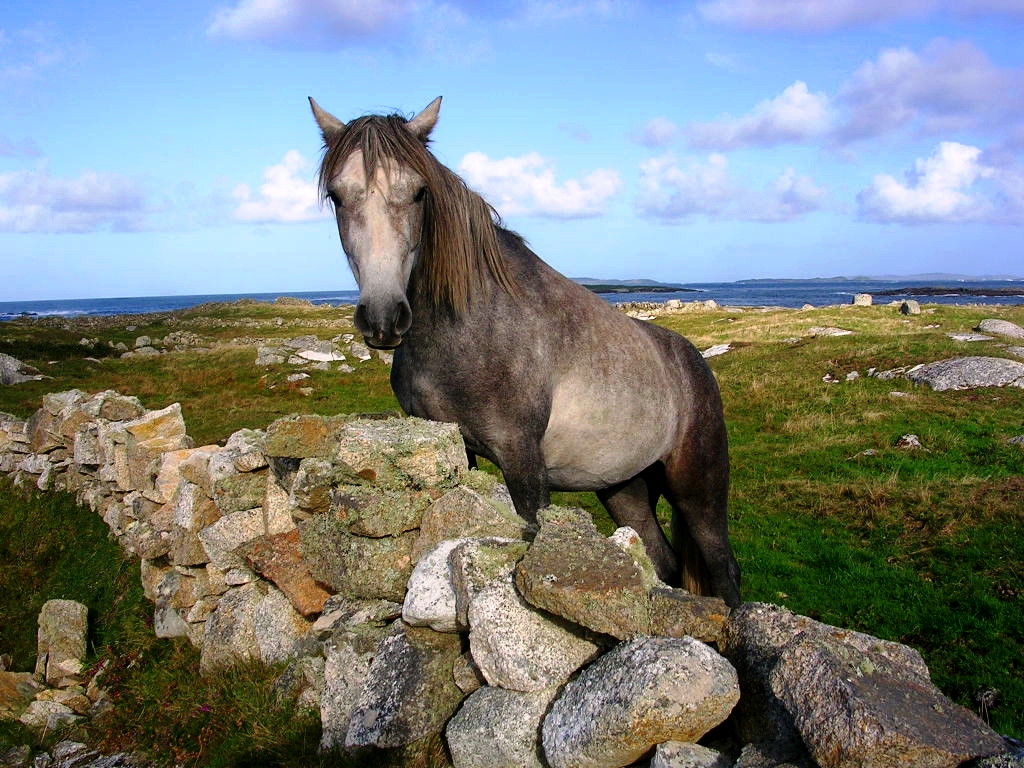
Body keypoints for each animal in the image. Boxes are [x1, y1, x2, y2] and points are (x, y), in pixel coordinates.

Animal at [307, 96, 741, 606]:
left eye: (418, 193)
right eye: (338, 195)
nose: (382, 317)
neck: (471, 327)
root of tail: (694, 365)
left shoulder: (523, 461)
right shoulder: (453, 449)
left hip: (699, 492)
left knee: (724, 570)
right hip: (624, 487)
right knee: (664, 561)